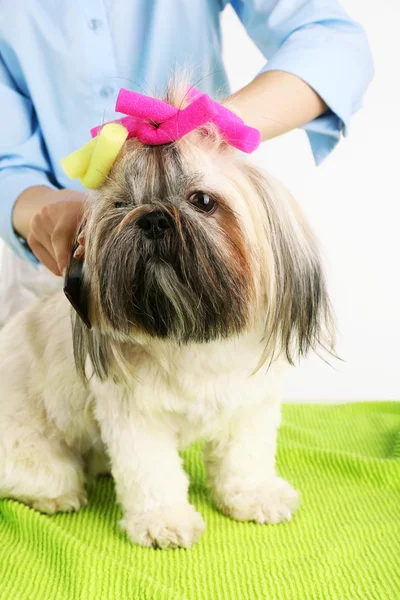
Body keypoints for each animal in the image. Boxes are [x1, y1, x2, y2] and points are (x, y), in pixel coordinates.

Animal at [0, 82, 334, 552]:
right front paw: (164, 521)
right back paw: (59, 495)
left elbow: (246, 456)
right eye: (122, 205)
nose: (154, 218)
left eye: (203, 201)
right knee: (46, 475)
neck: (190, 335)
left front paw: (255, 495)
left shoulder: (250, 403)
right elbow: (152, 474)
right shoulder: (135, 418)